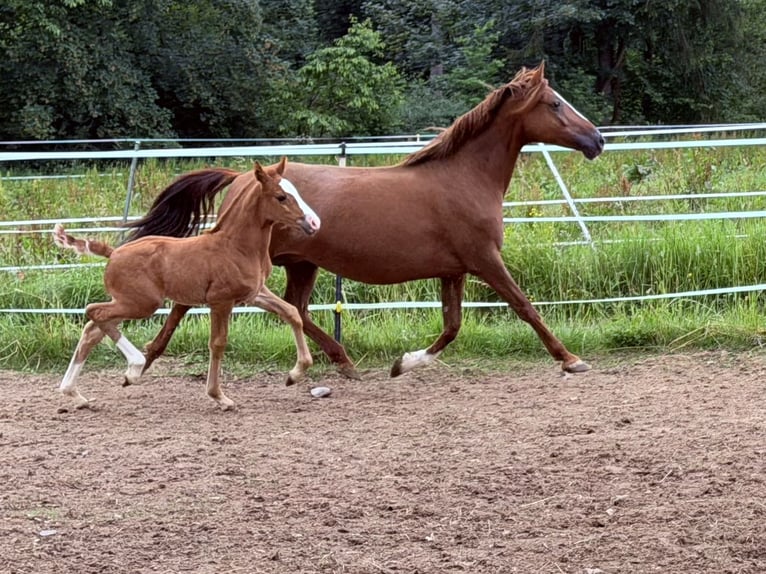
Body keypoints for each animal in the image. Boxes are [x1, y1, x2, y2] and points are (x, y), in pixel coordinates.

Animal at [53, 158, 321, 410]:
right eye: (281, 197)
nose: (313, 223)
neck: (236, 246)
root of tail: (113, 252)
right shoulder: (221, 301)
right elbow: (218, 343)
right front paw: (219, 396)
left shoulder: (254, 294)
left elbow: (292, 313)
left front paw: (294, 374)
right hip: (141, 304)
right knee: (94, 312)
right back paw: (134, 368)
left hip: (127, 303)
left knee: (92, 329)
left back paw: (76, 394)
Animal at [124, 62, 604, 380]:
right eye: (555, 104)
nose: (597, 140)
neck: (464, 178)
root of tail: (245, 178)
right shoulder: (484, 259)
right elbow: (524, 306)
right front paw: (570, 359)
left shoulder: (454, 270)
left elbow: (452, 326)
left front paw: (404, 363)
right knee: (188, 301)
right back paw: (144, 361)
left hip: (302, 263)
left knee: (296, 309)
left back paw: (345, 363)